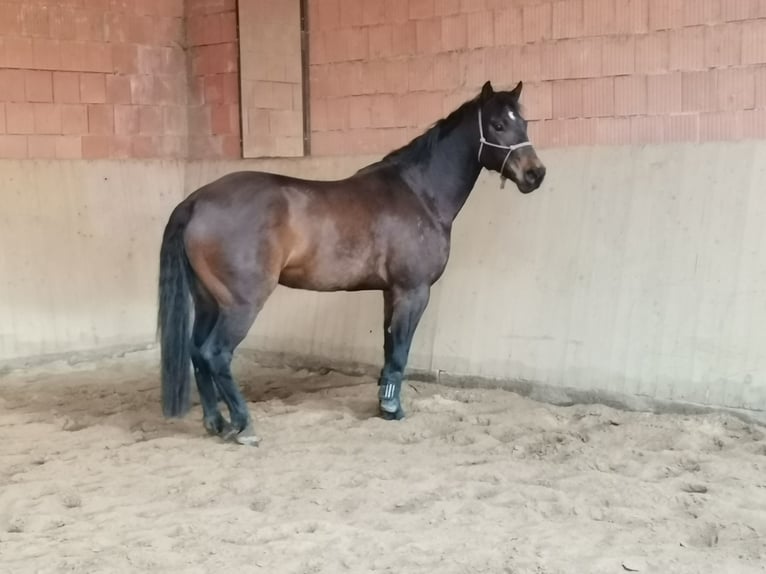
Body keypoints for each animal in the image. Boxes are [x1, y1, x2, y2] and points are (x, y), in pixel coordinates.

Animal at [159, 81, 548, 448]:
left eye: (524, 122)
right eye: (498, 124)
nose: (535, 174)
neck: (419, 193)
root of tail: (196, 201)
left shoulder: (391, 293)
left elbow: (390, 346)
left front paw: (384, 405)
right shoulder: (413, 291)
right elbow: (401, 349)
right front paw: (393, 409)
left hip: (208, 302)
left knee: (197, 352)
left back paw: (216, 422)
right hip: (241, 305)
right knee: (215, 353)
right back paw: (243, 426)